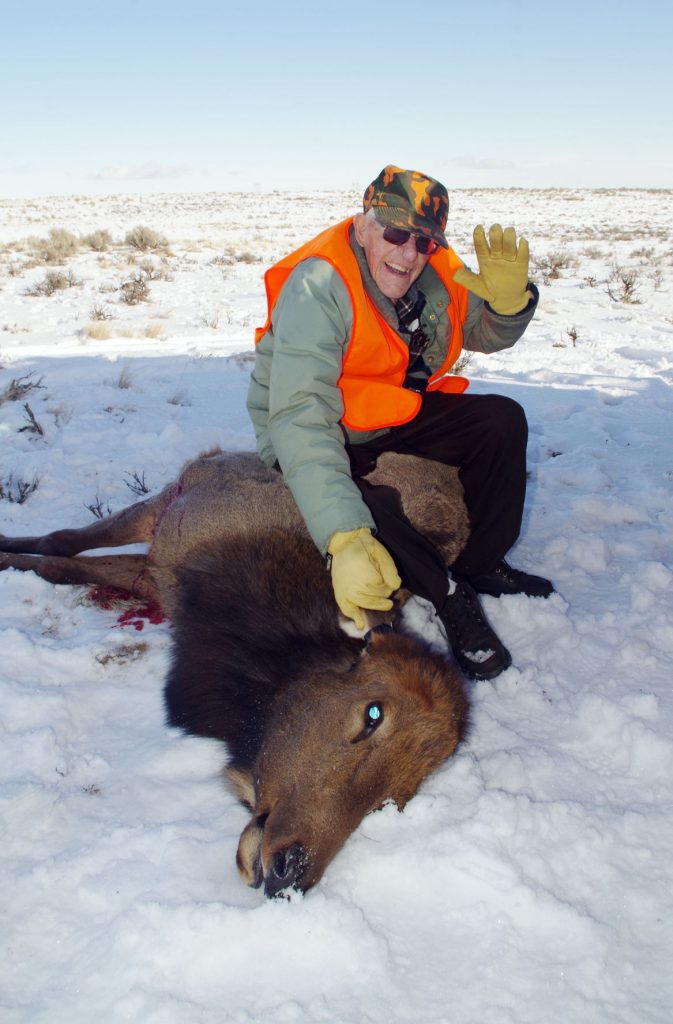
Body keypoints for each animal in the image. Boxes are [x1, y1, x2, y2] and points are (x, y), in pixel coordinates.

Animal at [0, 452, 469, 892]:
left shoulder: (154, 577)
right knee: (65, 539)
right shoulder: (166, 522)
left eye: (399, 796)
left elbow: (60, 566)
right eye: (373, 714)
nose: (291, 869)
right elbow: (57, 548)